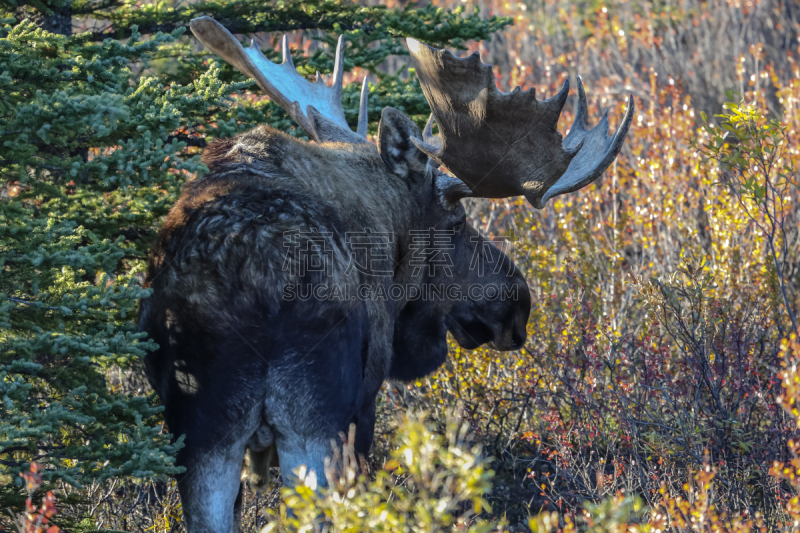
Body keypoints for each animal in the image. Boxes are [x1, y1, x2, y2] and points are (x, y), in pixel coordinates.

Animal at [141, 17, 636, 532]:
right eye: (457, 222)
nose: (518, 304)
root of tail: (256, 278)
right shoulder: (364, 398)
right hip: (310, 419)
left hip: (201, 430)